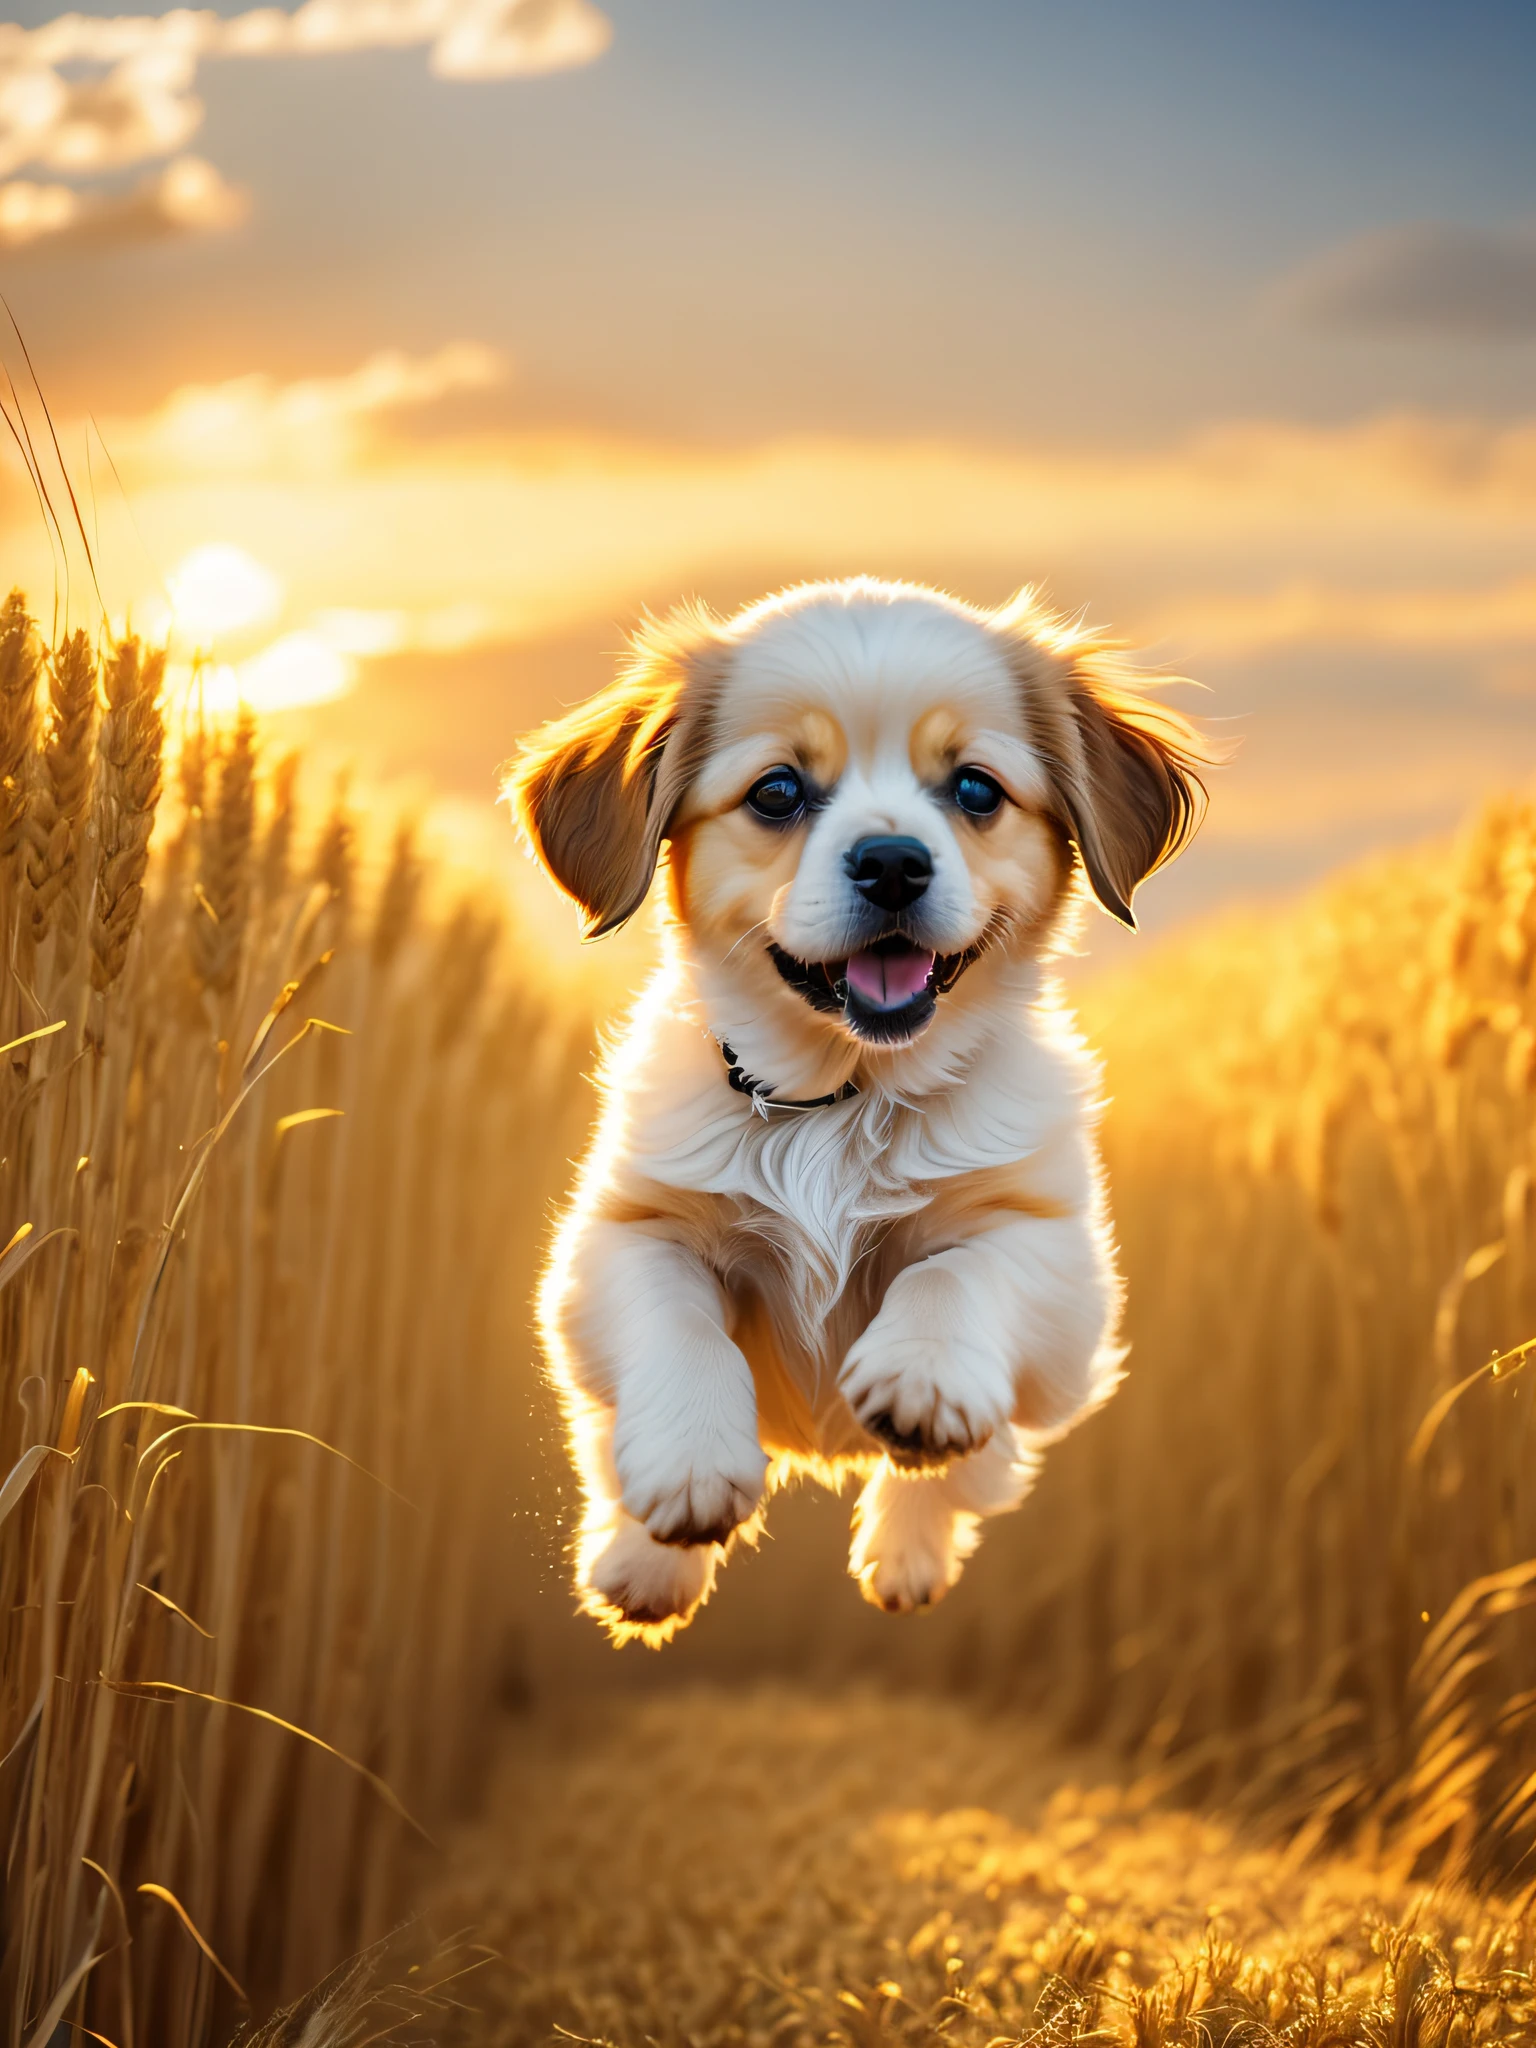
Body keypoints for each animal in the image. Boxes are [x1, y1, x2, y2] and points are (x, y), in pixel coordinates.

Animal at [514, 577, 1212, 1646]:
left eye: (975, 790)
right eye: (776, 792)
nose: (891, 861)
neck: (843, 1101)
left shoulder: (1060, 1261)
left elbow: (955, 1271)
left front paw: (922, 1379)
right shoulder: (618, 1237)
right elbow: (678, 1323)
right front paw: (689, 1467)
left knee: (971, 1465)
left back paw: (905, 1547)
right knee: (601, 1439)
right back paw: (640, 1561)